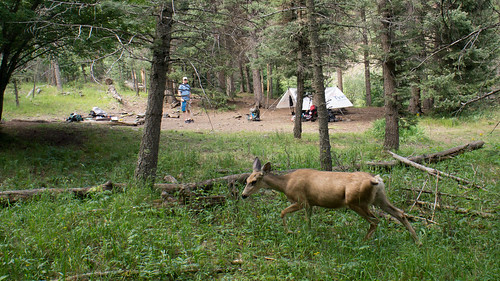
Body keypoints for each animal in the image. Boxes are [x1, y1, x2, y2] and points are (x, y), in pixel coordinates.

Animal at [240, 158, 420, 243]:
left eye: (253, 181)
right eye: (246, 180)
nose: (243, 195)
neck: (286, 184)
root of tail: (376, 179)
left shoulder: (301, 200)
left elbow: (282, 212)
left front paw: (289, 232)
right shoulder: (310, 203)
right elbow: (308, 219)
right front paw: (308, 233)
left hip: (356, 202)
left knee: (375, 220)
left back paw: (363, 242)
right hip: (379, 198)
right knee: (400, 213)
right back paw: (417, 241)